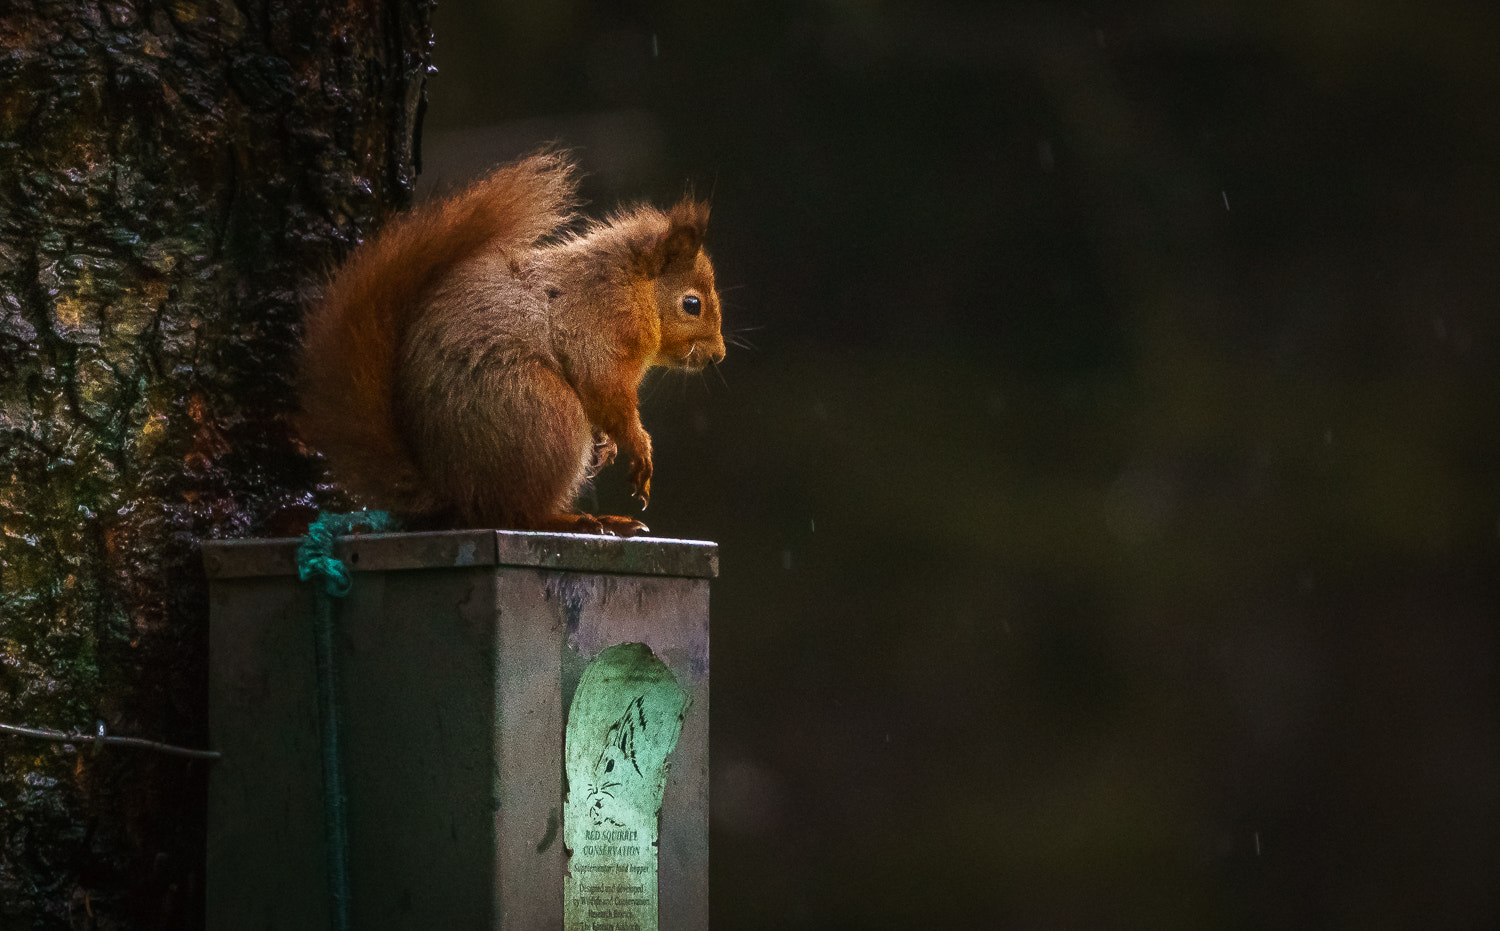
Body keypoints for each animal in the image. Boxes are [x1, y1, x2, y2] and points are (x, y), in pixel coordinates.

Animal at [295, 149, 723, 533]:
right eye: (692, 304)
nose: (717, 356)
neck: (633, 283)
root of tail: (457, 494)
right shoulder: (600, 322)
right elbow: (603, 387)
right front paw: (638, 446)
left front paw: (609, 445)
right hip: (547, 416)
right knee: (517, 515)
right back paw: (580, 520)